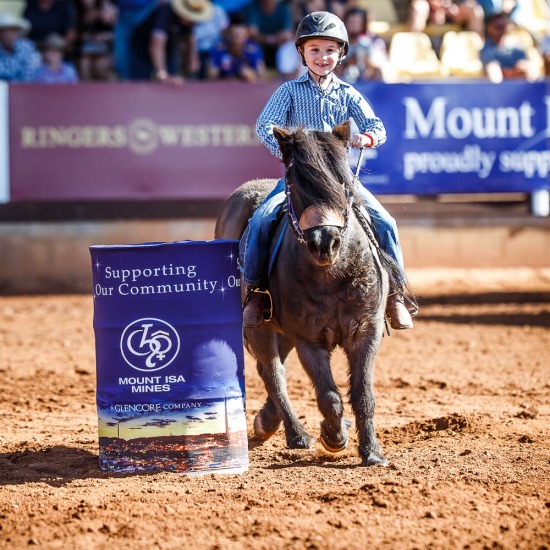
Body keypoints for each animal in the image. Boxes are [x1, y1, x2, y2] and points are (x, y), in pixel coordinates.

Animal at [215, 122, 402, 470]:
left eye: (342, 181)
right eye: (294, 182)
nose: (324, 242)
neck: (334, 276)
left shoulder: (366, 332)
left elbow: (363, 394)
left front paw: (372, 452)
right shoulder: (308, 339)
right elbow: (328, 396)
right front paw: (334, 436)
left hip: (281, 332)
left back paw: (268, 421)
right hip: (258, 326)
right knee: (274, 374)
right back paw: (297, 434)